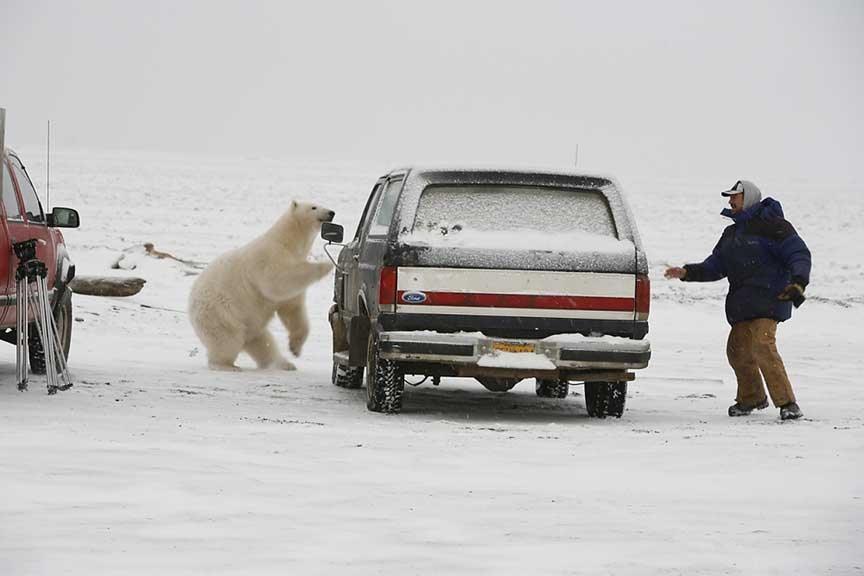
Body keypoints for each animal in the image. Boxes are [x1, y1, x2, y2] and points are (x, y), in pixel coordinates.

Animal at [188, 202, 334, 372]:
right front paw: (326, 265)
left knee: (263, 342)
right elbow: (278, 281)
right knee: (227, 339)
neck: (286, 242)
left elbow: (292, 309)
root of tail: (191, 310)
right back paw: (227, 365)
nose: (331, 213)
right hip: (221, 314)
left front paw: (295, 348)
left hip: (250, 323)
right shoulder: (269, 257)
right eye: (313, 207)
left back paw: (284, 364)